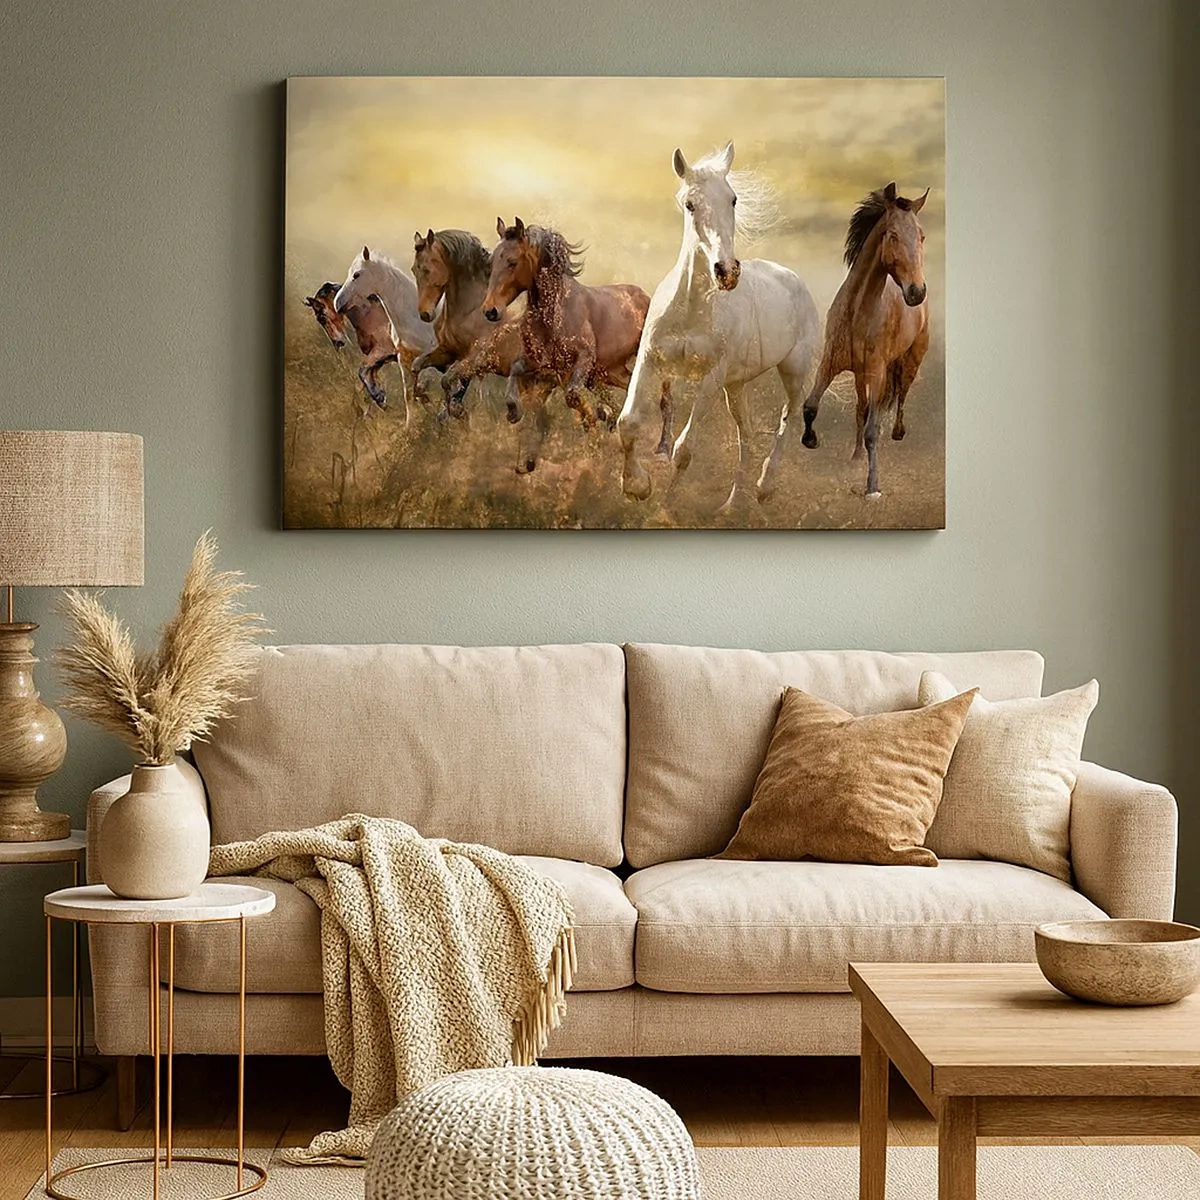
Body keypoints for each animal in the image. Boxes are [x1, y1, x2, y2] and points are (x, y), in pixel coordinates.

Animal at [481, 217, 650, 474]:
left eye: (512, 262)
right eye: (491, 263)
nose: (490, 311)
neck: (554, 313)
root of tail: (644, 295)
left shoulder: (582, 360)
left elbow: (572, 397)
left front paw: (594, 417)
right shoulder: (543, 365)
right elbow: (516, 373)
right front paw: (513, 411)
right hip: (611, 372)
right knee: (626, 386)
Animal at [615, 142, 820, 510]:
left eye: (733, 199)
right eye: (689, 204)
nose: (727, 271)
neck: (691, 309)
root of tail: (793, 278)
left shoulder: (711, 377)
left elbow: (684, 449)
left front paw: (665, 506)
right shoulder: (650, 360)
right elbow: (628, 423)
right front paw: (637, 486)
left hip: (793, 371)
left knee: (789, 417)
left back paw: (764, 487)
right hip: (736, 387)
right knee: (747, 435)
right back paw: (731, 506)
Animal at [757, 182, 930, 501]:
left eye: (922, 236)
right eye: (893, 235)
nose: (916, 292)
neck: (859, 312)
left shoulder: (877, 371)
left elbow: (873, 428)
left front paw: (872, 487)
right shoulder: (830, 363)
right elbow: (811, 406)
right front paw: (810, 440)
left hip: (908, 362)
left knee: (900, 396)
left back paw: (897, 433)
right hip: (861, 376)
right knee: (861, 410)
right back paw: (856, 457)